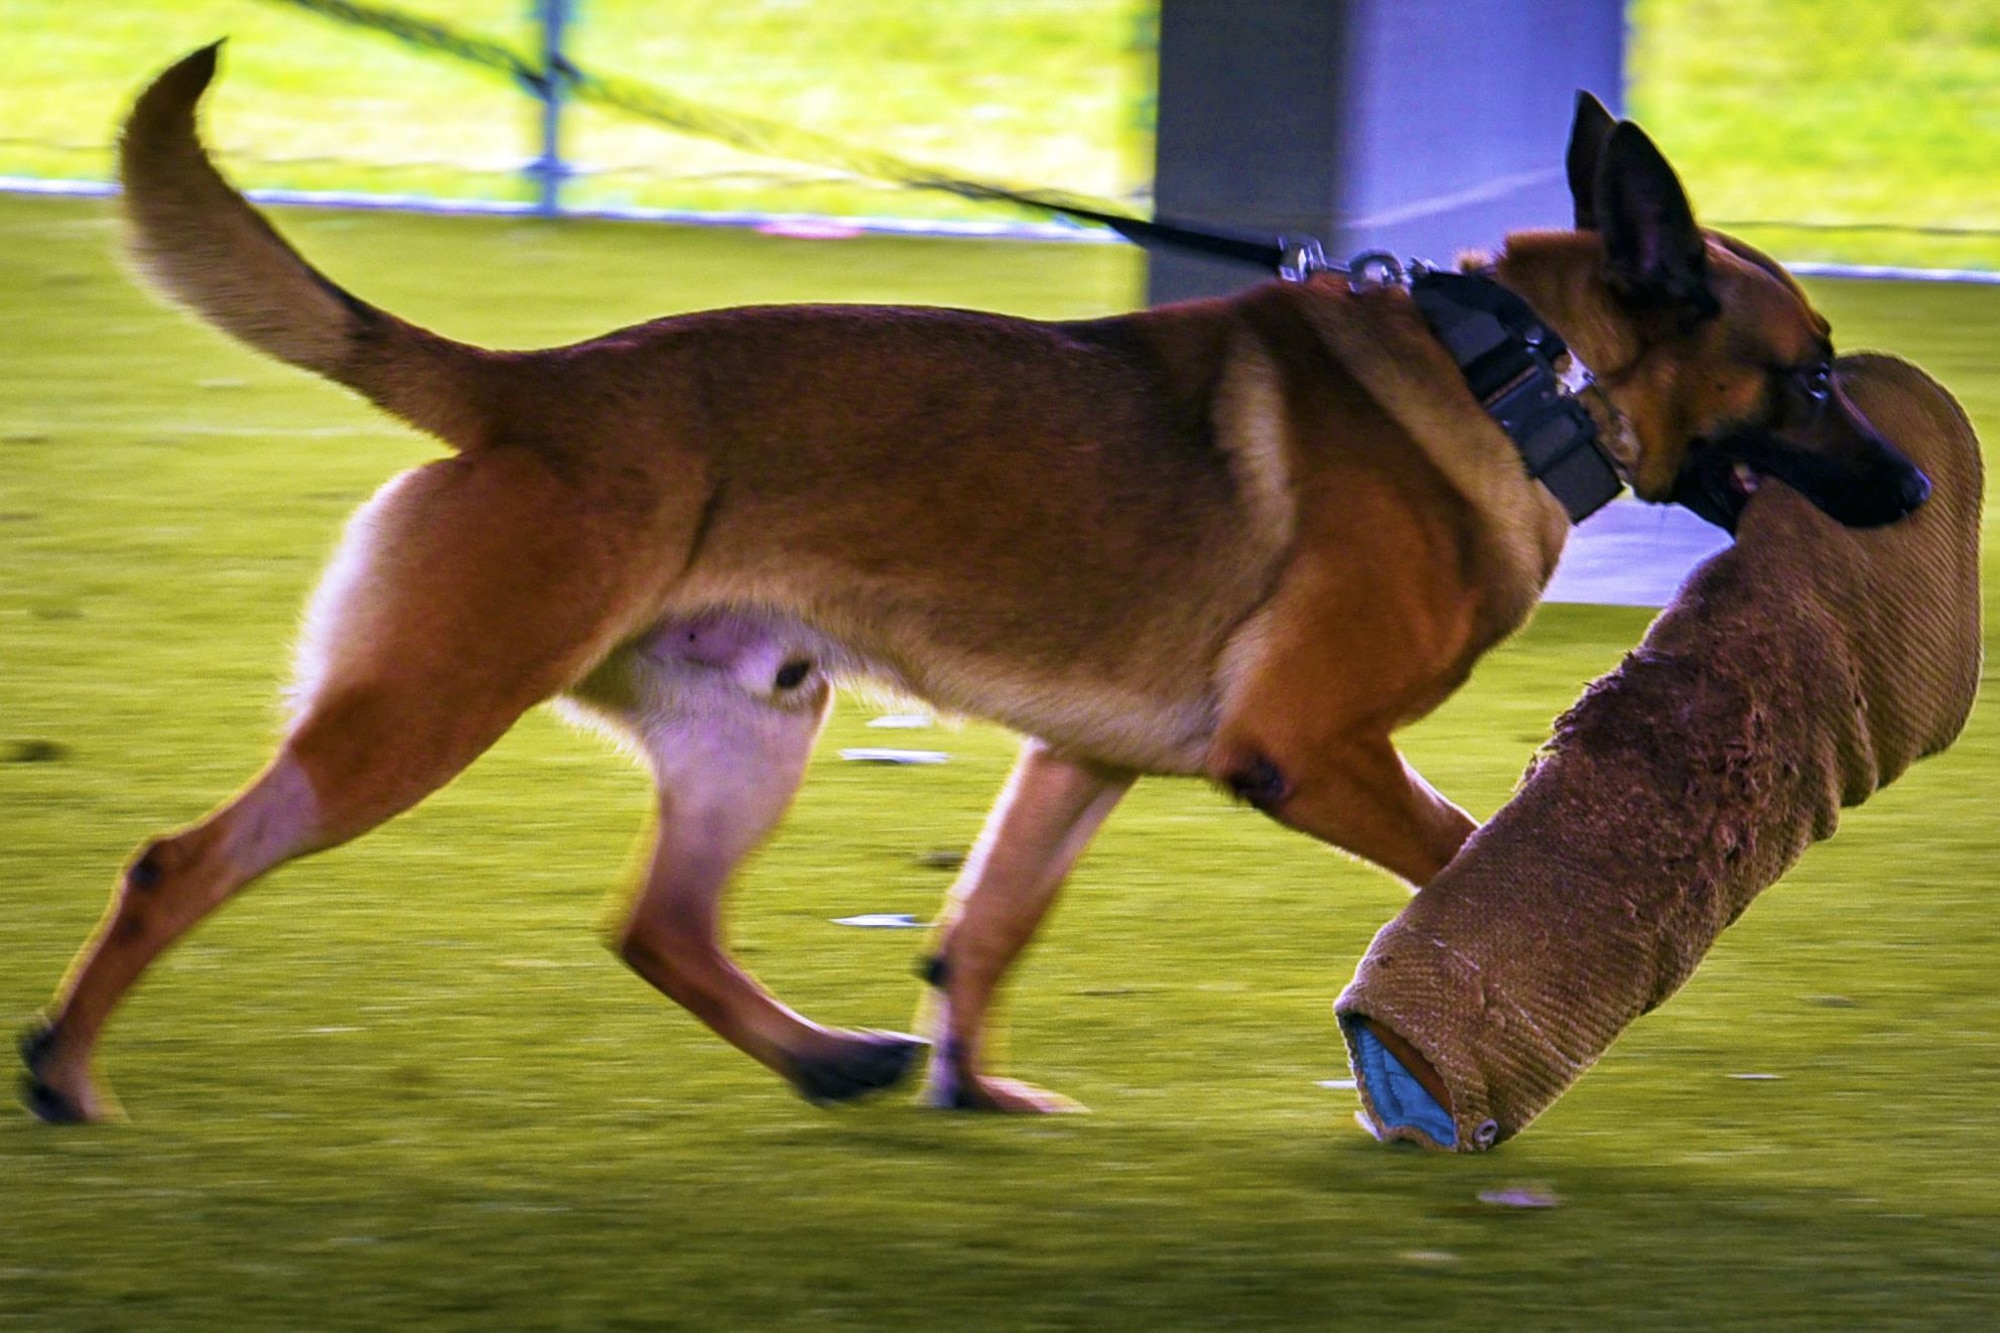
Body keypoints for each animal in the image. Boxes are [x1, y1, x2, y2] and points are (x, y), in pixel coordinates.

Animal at [19, 46, 1920, 1112]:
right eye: (1815, 373)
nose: (1913, 489)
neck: (1524, 368)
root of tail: (533, 383)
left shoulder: (1079, 764)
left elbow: (987, 926)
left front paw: (975, 1086)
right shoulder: (1312, 750)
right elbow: (1469, 858)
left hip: (747, 732)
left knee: (660, 923)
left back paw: (826, 1058)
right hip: (421, 709)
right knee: (181, 859)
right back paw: (69, 1073)